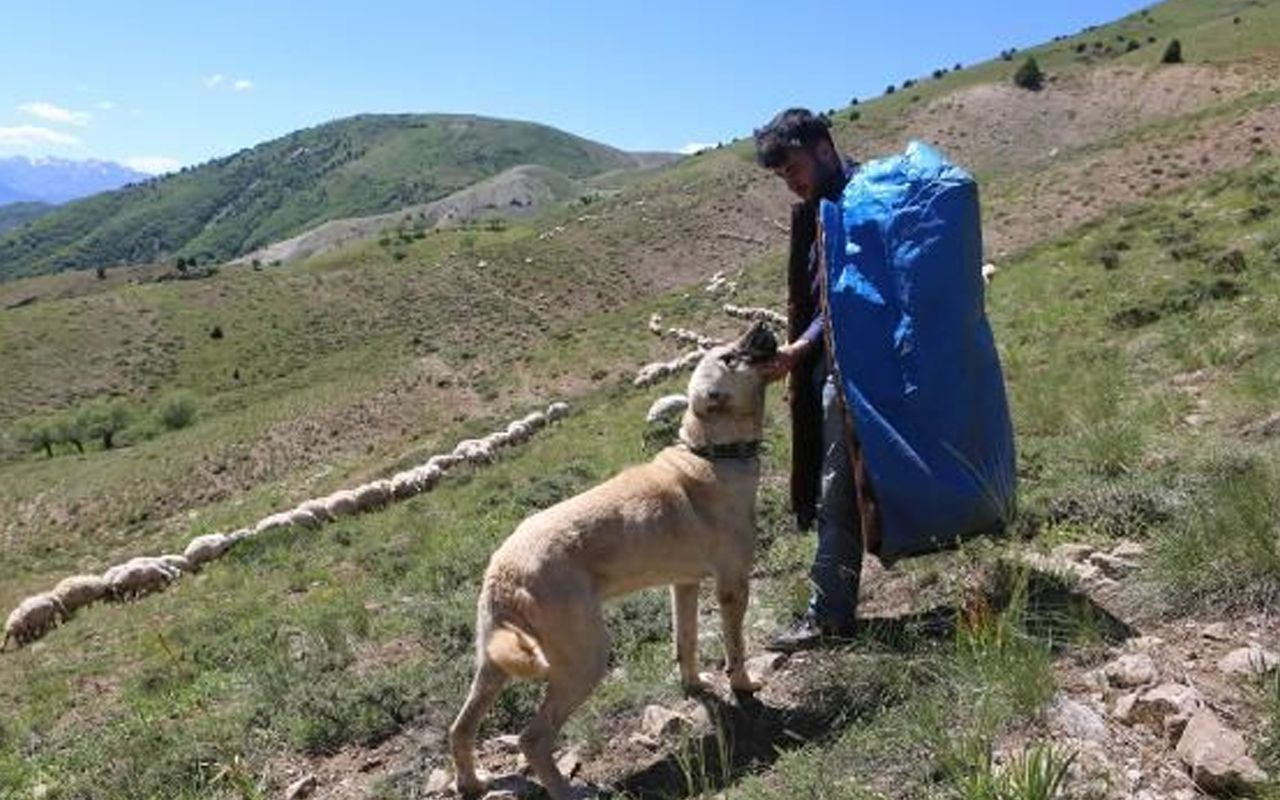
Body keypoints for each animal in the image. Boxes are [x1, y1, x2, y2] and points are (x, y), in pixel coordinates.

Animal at [450, 322, 778, 798]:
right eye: (730, 358)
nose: (762, 326)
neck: (712, 451)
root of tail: (501, 573)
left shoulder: (685, 585)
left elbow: (686, 642)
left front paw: (695, 685)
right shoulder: (733, 584)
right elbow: (735, 648)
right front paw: (743, 685)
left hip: (494, 663)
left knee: (460, 728)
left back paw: (471, 782)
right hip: (585, 658)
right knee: (533, 738)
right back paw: (566, 790)